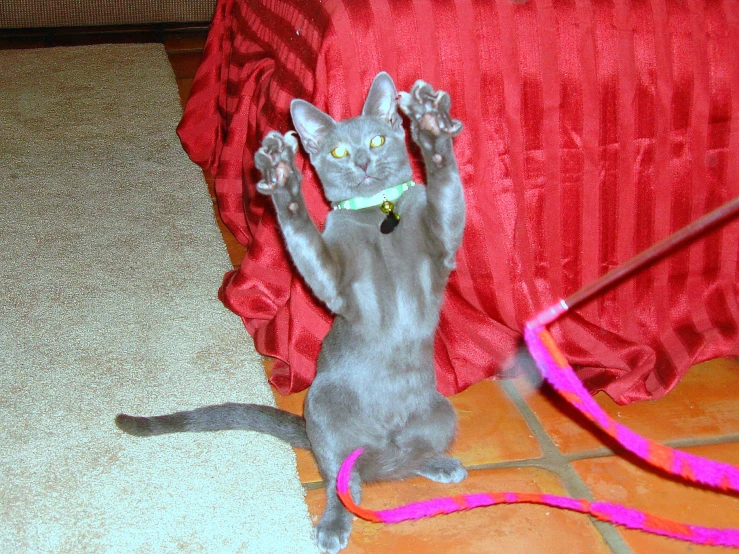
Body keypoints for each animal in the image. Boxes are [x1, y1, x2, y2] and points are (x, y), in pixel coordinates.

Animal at [118, 73, 468, 552]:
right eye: (338, 152)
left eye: (377, 140)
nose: (362, 161)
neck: (377, 214)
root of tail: (380, 448)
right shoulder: (336, 285)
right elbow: (303, 237)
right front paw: (283, 180)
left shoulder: (441, 243)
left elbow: (446, 189)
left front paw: (431, 127)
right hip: (323, 408)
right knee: (343, 481)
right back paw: (334, 524)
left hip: (442, 412)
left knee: (402, 460)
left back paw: (440, 464)